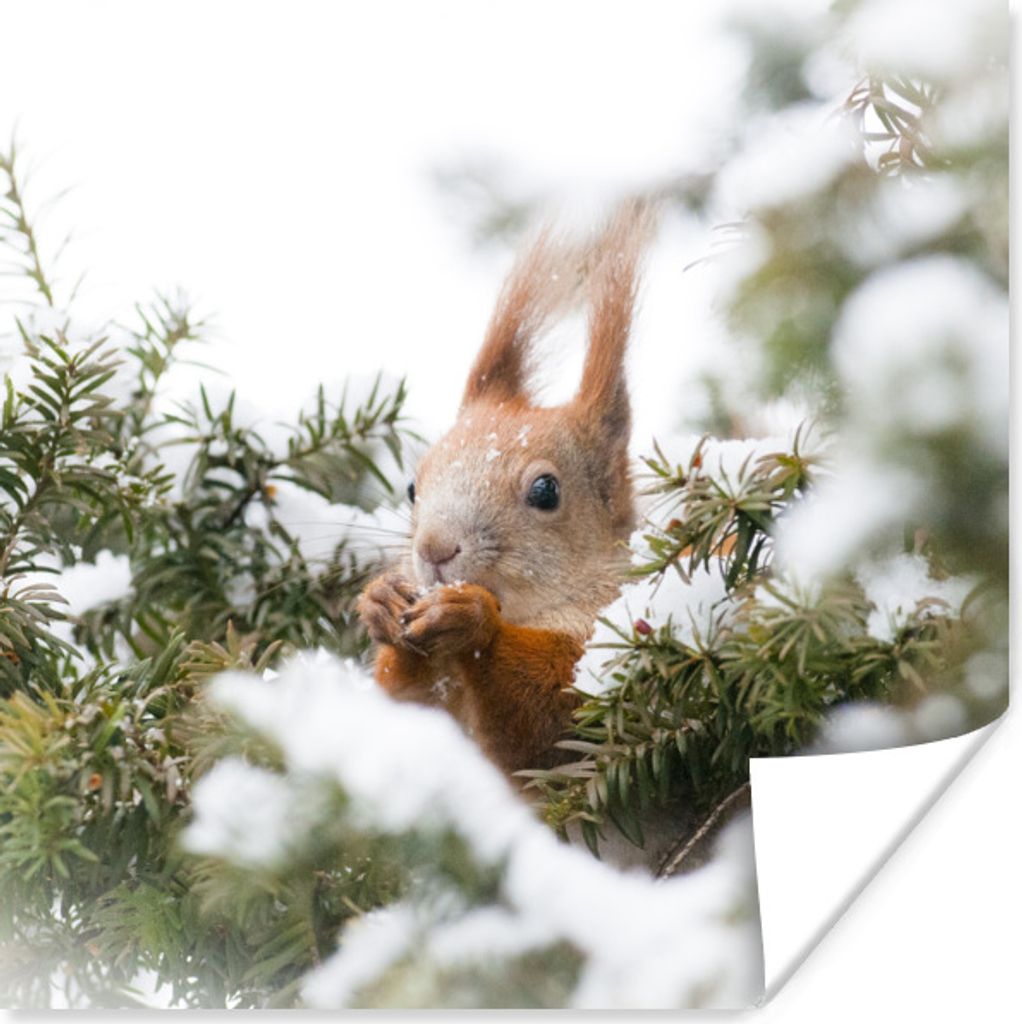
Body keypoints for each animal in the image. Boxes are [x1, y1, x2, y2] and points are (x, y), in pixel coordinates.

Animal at [356, 205, 652, 775]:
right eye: (412, 486)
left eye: (545, 491)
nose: (434, 550)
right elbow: (408, 711)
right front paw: (380, 600)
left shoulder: (610, 646)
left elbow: (553, 720)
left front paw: (472, 620)